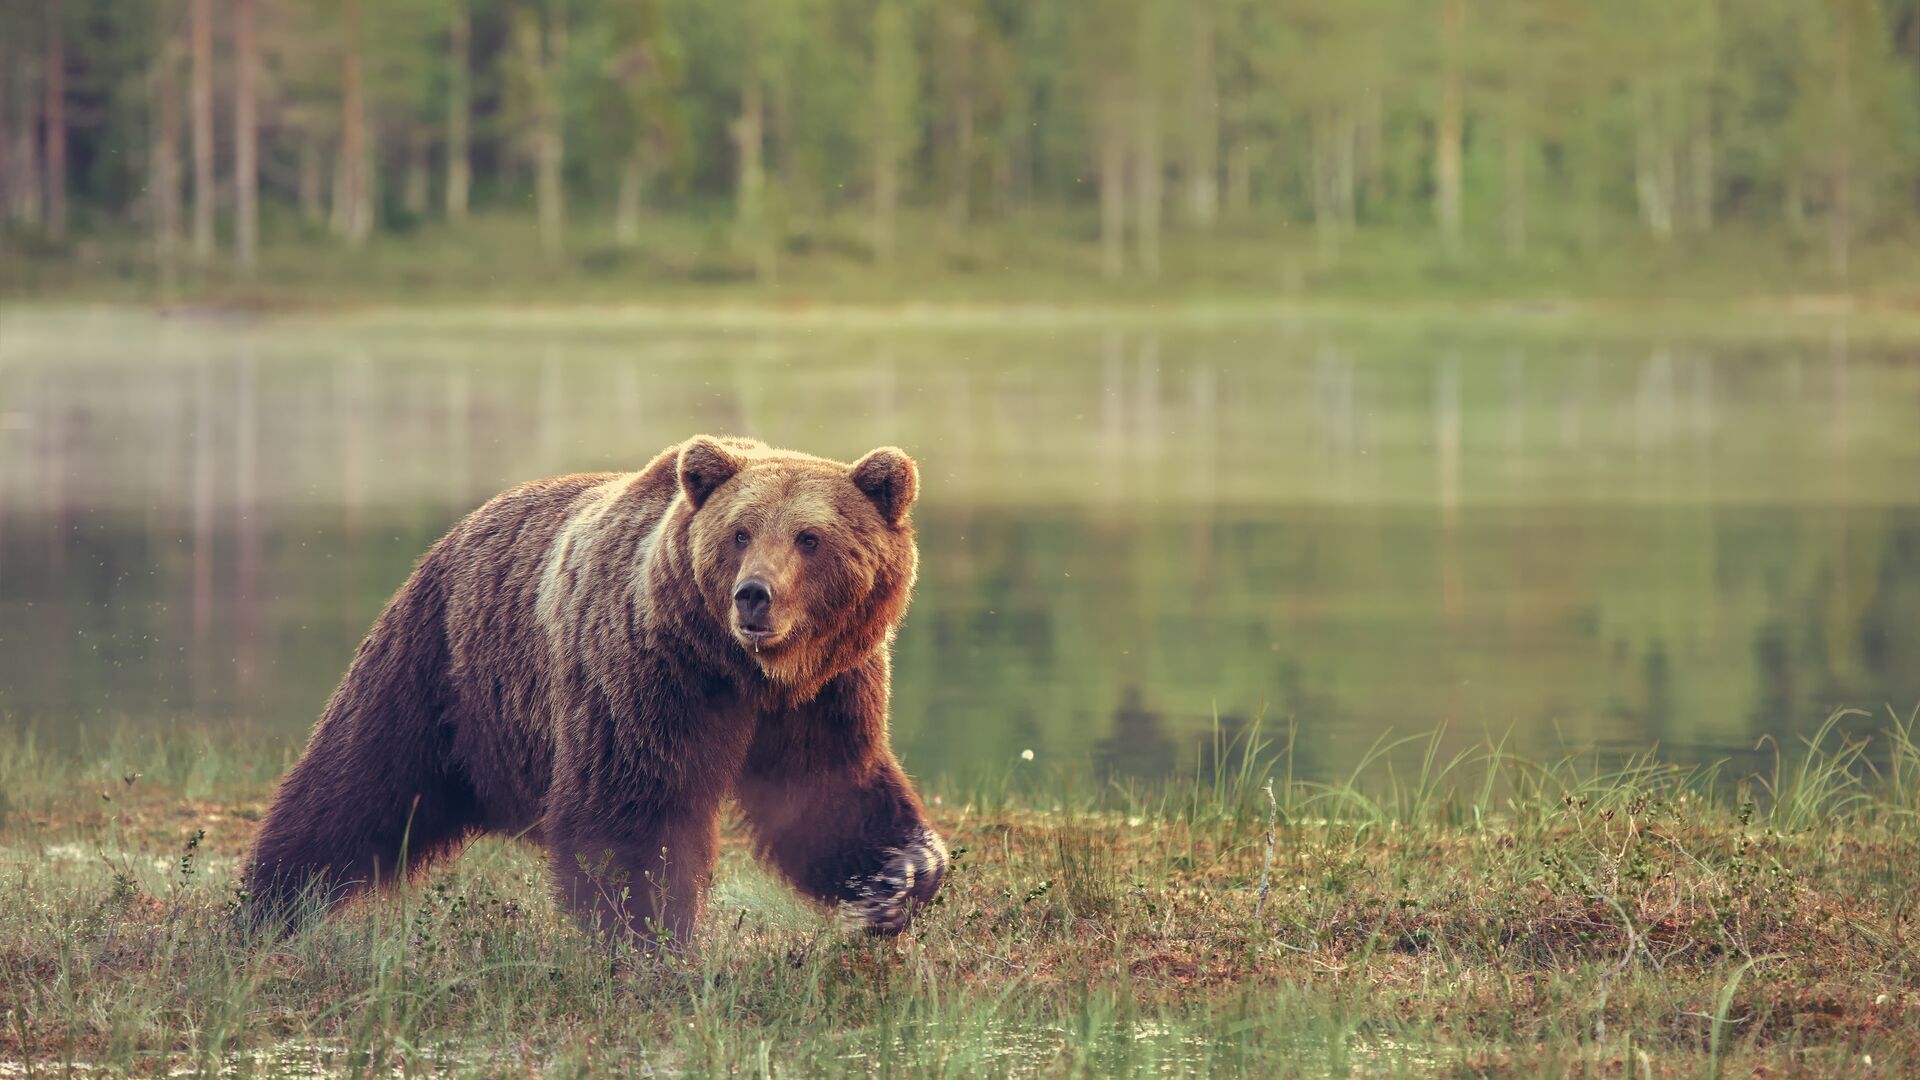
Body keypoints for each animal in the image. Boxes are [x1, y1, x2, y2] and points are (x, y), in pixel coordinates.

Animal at [243, 432, 948, 937]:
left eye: (810, 537)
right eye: (740, 532)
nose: (754, 596)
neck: (745, 671)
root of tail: (458, 530)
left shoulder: (828, 690)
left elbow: (829, 791)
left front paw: (897, 878)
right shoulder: (648, 675)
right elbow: (631, 809)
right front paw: (650, 941)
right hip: (441, 666)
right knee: (353, 786)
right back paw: (266, 910)